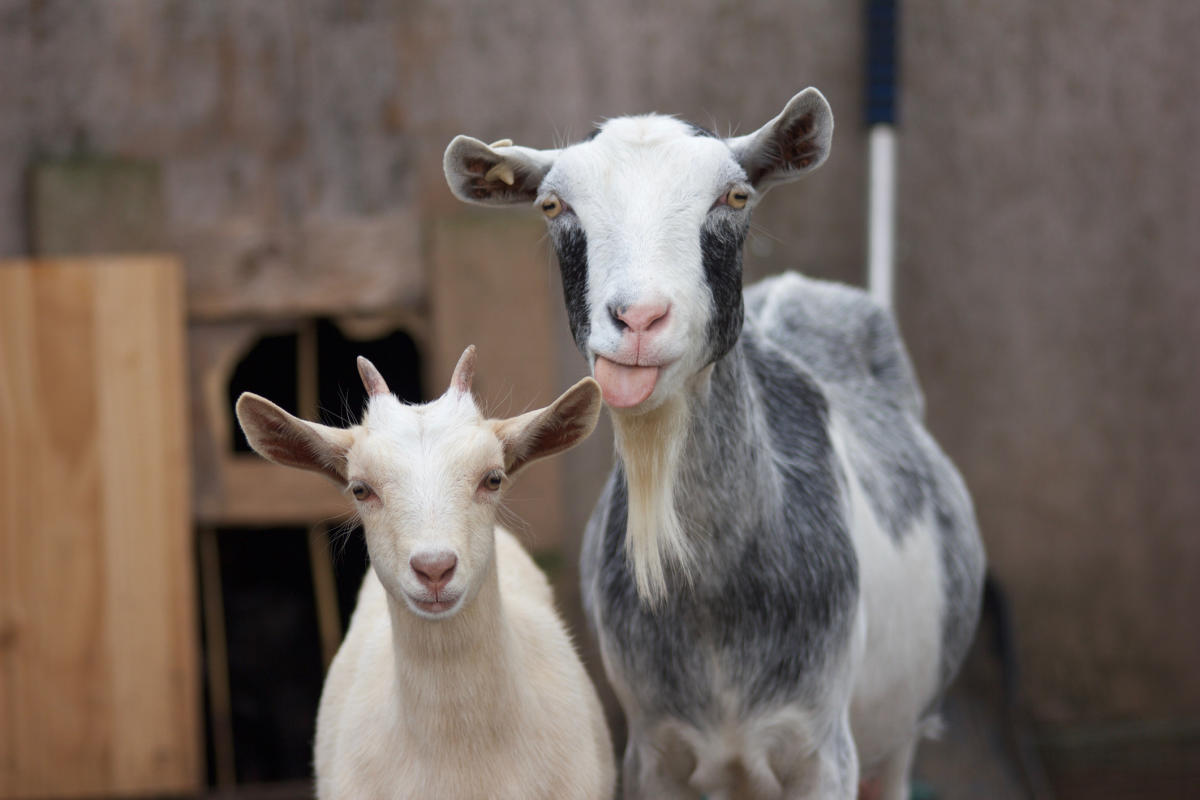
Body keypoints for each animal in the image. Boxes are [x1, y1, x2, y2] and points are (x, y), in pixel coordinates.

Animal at [441, 90, 984, 796]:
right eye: (554, 206)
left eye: (735, 196)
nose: (638, 319)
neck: (713, 604)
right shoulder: (652, 748)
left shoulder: (823, 750)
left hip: (897, 741)